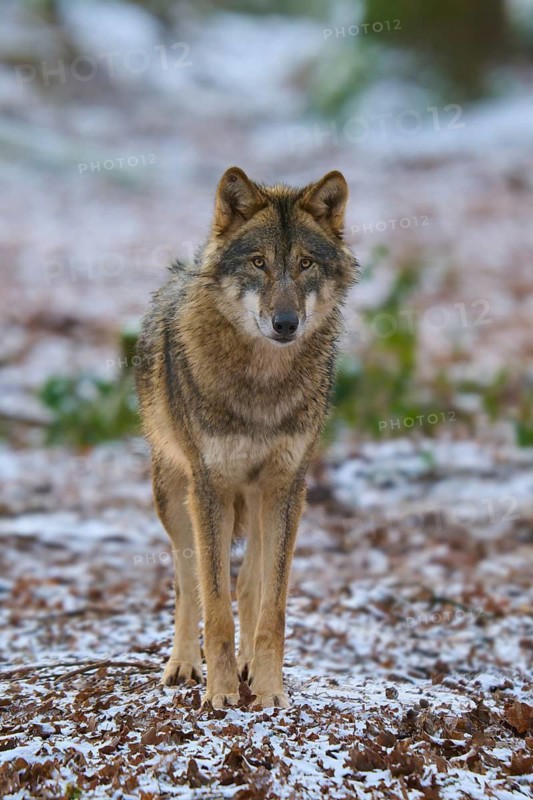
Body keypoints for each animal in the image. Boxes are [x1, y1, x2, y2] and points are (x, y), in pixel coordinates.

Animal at [135, 167, 357, 708]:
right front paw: (218, 693)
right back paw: (183, 665)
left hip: (258, 502)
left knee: (252, 587)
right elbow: (214, 605)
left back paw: (250, 668)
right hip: (173, 497)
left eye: (304, 264)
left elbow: (271, 606)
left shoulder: (288, 486)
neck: (262, 382)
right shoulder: (209, 489)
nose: (285, 323)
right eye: (259, 262)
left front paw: (270, 689)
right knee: (187, 584)